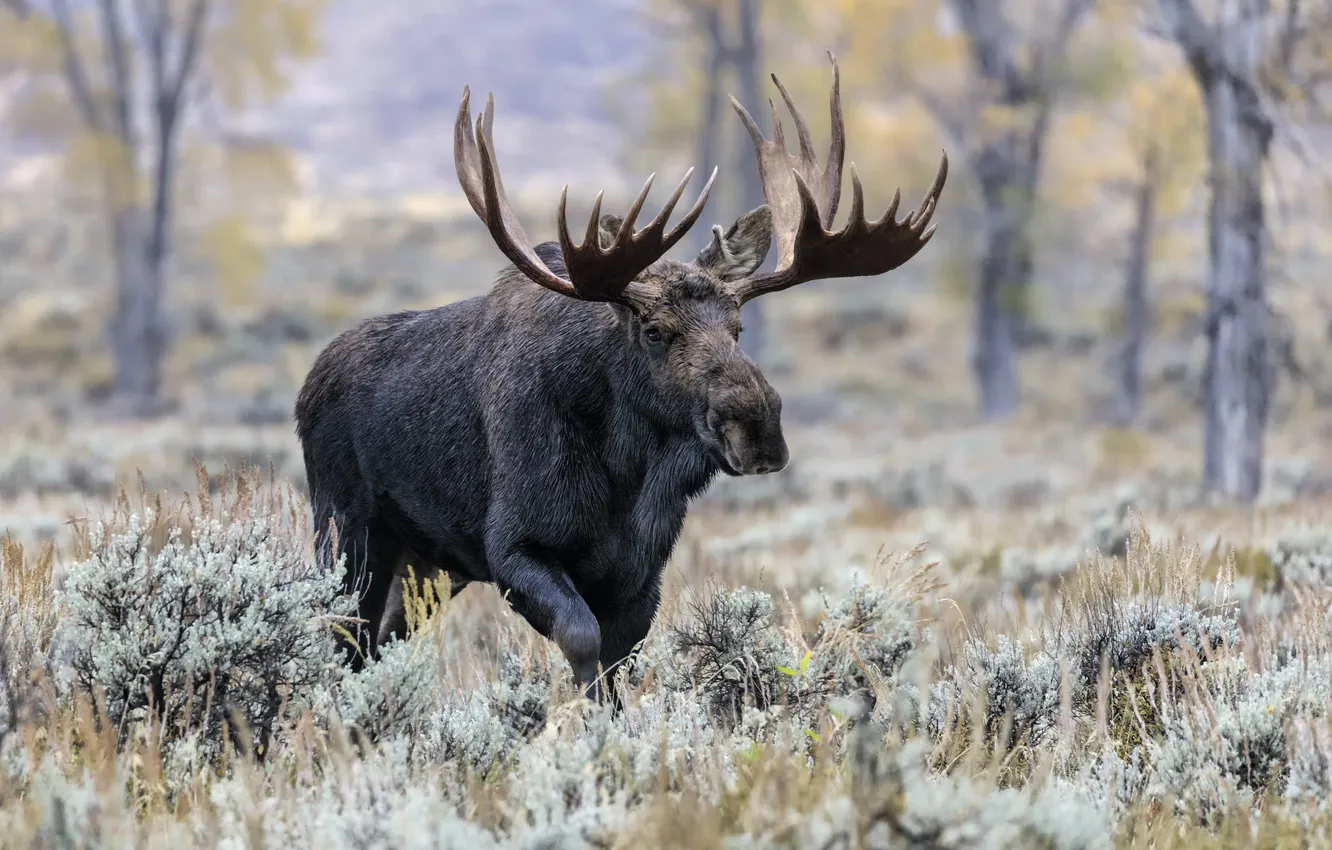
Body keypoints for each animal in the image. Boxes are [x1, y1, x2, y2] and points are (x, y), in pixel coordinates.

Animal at [297, 54, 948, 703]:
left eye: (738, 326)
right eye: (654, 330)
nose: (758, 429)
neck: (626, 477)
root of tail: (307, 387)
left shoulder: (640, 573)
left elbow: (619, 666)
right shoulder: (512, 546)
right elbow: (583, 643)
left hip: (427, 565)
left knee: (376, 642)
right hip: (347, 533)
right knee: (342, 637)